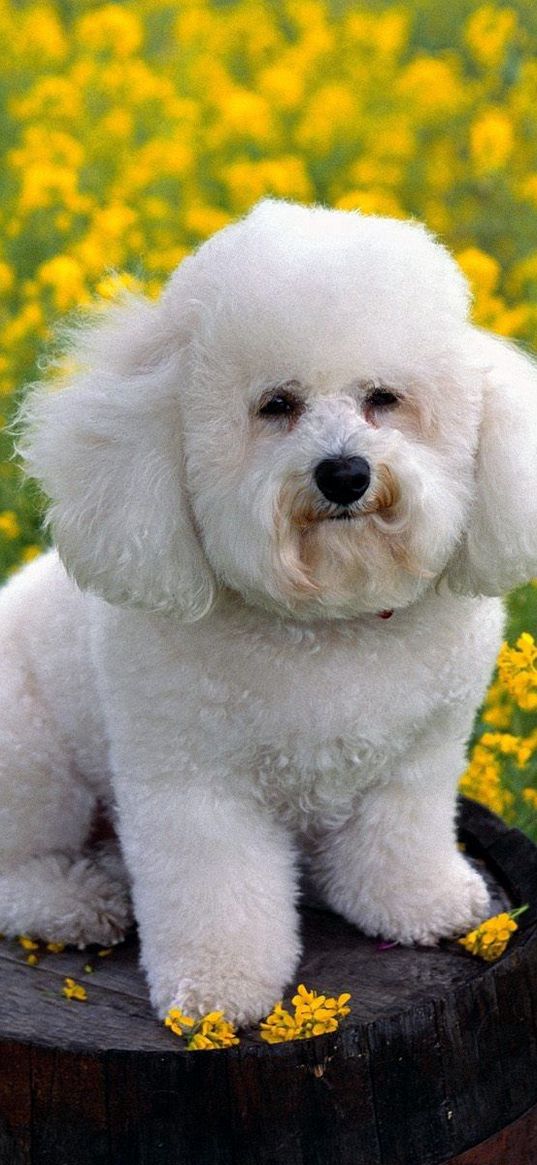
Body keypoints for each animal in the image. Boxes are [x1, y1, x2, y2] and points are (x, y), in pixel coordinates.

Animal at [1, 200, 535, 1020]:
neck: (330, 623)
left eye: (383, 399)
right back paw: (76, 901)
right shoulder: (194, 786)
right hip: (31, 760)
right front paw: (216, 990)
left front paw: (422, 902)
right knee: (16, 871)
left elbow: (401, 838)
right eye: (276, 405)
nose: (345, 474)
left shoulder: (417, 758)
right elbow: (218, 894)